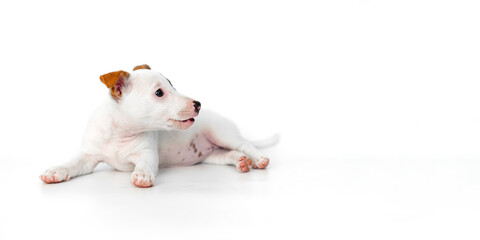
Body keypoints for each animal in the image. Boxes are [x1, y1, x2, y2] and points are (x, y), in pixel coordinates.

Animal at [40, 64, 278, 188]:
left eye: (172, 85)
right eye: (159, 92)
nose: (198, 104)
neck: (120, 134)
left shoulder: (147, 154)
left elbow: (144, 164)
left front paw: (142, 175)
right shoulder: (88, 156)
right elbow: (72, 163)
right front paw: (55, 171)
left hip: (221, 133)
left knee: (245, 145)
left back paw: (258, 159)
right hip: (211, 154)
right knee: (229, 154)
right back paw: (241, 162)